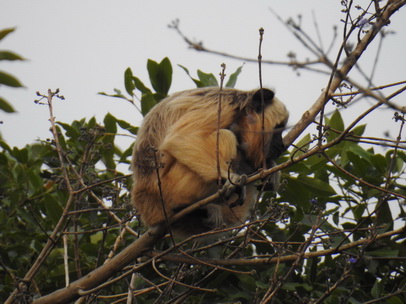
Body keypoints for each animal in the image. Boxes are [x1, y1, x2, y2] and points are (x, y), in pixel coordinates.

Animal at [131, 86, 288, 239]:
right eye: (278, 128)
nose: (281, 145)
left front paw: (269, 166)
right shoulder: (222, 105)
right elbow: (183, 137)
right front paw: (232, 180)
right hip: (169, 187)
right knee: (226, 135)